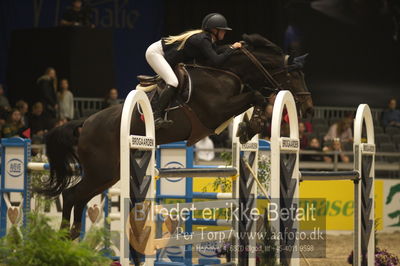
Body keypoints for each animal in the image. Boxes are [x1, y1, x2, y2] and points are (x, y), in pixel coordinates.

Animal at [36, 33, 314, 245]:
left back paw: (71, 233)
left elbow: (256, 98)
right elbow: (256, 95)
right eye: (294, 76)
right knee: (72, 194)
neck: (224, 72)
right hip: (101, 170)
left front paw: (248, 127)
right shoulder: (216, 110)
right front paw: (250, 125)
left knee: (78, 196)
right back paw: (64, 233)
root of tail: (85, 123)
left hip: (108, 174)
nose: (309, 108)